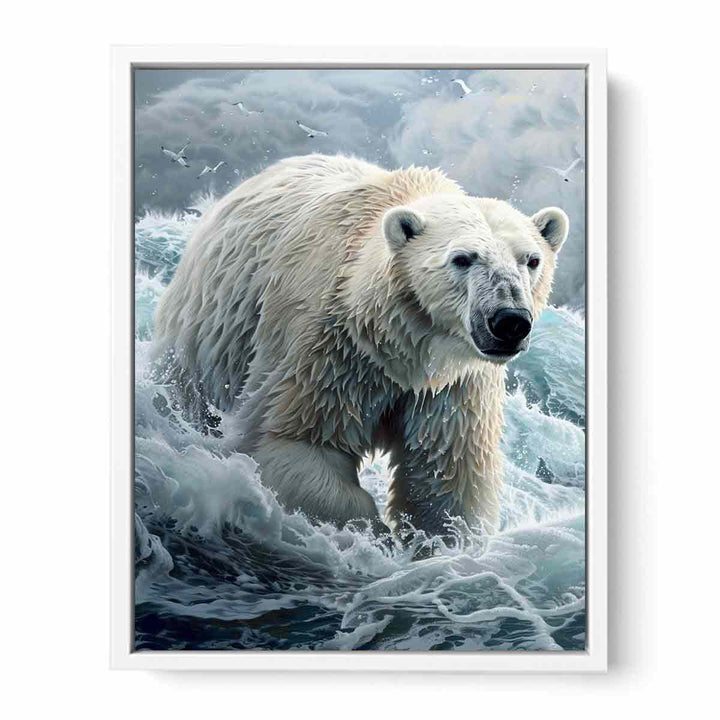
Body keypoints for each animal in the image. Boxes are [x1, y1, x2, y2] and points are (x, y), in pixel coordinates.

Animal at [152, 153, 568, 539]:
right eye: (462, 259)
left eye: (531, 260)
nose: (509, 321)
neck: (401, 344)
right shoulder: (329, 349)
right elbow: (296, 442)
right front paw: (375, 535)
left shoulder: (454, 385)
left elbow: (446, 477)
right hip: (210, 332)